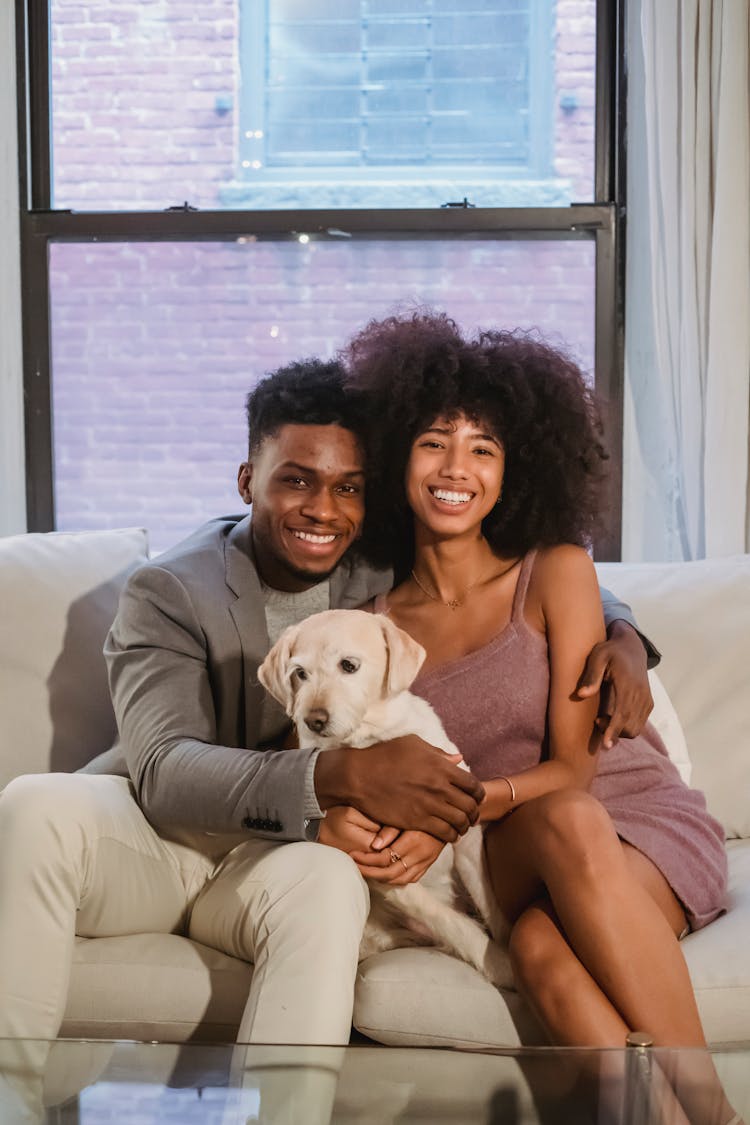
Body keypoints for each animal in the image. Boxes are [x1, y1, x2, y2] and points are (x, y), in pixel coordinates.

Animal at [255, 612, 512, 990]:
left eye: (349, 665)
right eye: (299, 673)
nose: (313, 720)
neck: (376, 737)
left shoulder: (467, 832)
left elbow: (490, 900)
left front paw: (512, 943)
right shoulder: (386, 870)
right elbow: (452, 923)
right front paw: (501, 965)